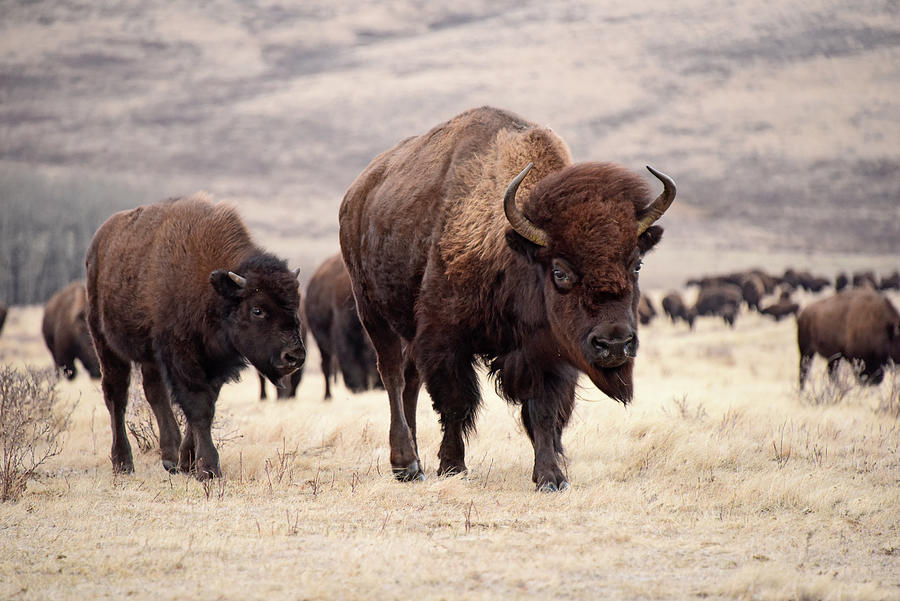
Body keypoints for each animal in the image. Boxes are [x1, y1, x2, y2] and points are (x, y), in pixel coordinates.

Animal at [88, 195, 306, 476]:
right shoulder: (183, 358)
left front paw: (187, 461)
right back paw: (123, 463)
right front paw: (208, 469)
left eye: (295, 305)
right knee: (116, 395)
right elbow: (199, 408)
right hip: (105, 343)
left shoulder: (215, 364)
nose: (294, 356)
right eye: (257, 309)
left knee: (154, 391)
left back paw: (169, 456)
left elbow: (204, 406)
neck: (212, 290)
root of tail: (98, 243)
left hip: (150, 356)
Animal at [338, 105, 676, 490]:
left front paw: (551, 477)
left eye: (636, 264)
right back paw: (406, 465)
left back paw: (415, 463)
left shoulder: (548, 354)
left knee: (409, 380)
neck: (515, 252)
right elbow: (455, 404)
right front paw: (453, 466)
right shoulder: (444, 340)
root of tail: (356, 194)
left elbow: (543, 412)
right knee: (393, 376)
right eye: (559, 271)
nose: (615, 343)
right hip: (372, 313)